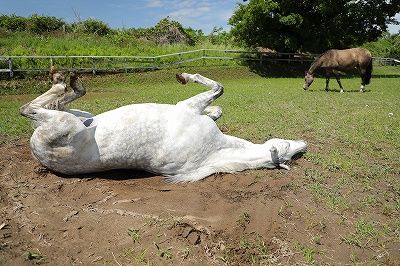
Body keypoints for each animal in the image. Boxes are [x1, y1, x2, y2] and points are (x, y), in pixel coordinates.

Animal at [19, 66, 306, 183]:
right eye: (288, 146)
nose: (304, 144)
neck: (213, 151)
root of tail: (37, 152)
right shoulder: (189, 107)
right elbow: (218, 101)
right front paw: (208, 106)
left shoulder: (188, 107)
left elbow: (218, 89)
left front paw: (184, 76)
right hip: (81, 116)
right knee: (48, 105)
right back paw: (65, 79)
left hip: (70, 123)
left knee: (31, 108)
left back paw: (63, 80)